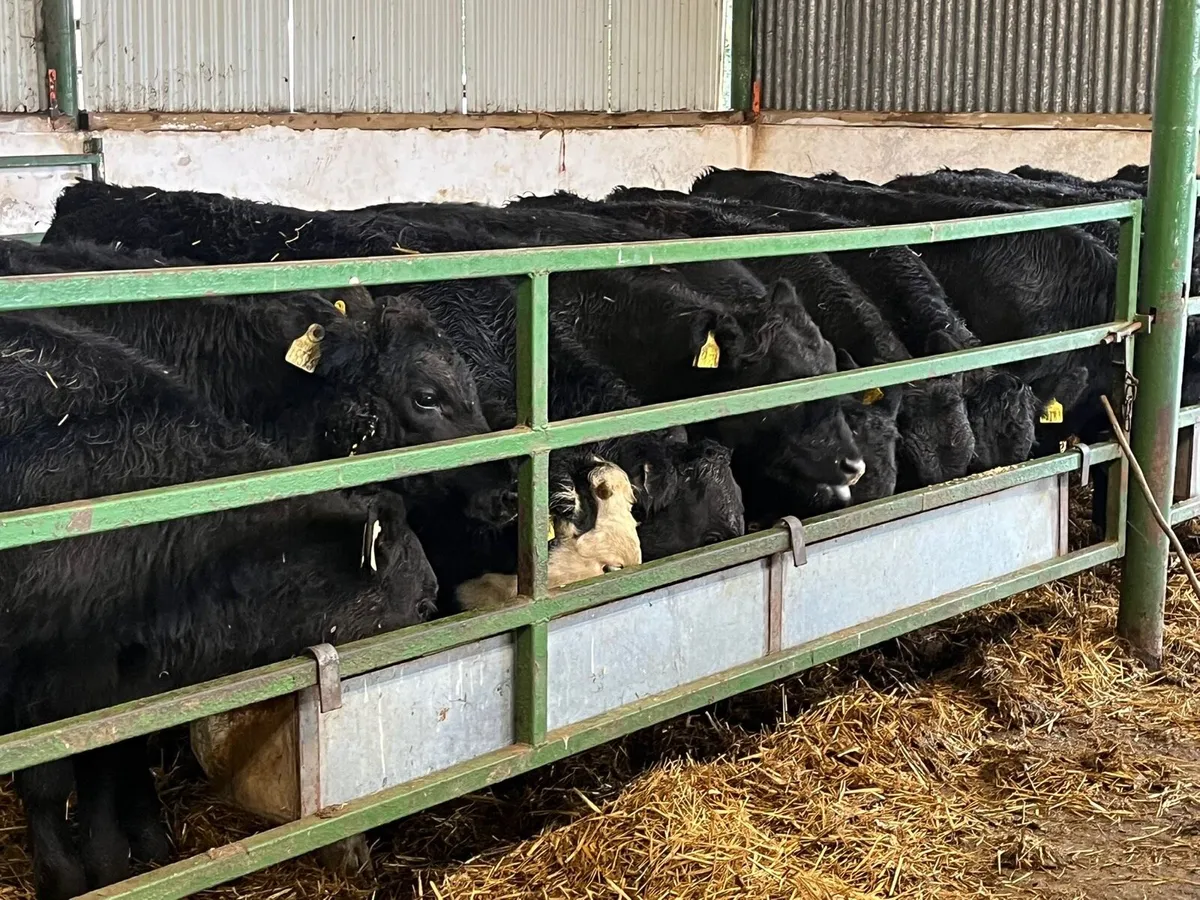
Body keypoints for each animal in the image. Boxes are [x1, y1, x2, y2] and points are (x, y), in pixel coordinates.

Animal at [0, 311, 438, 899]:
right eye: (423, 605)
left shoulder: (118, 683)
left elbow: (110, 763)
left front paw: (126, 853)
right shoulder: (45, 680)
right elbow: (50, 779)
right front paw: (68, 876)